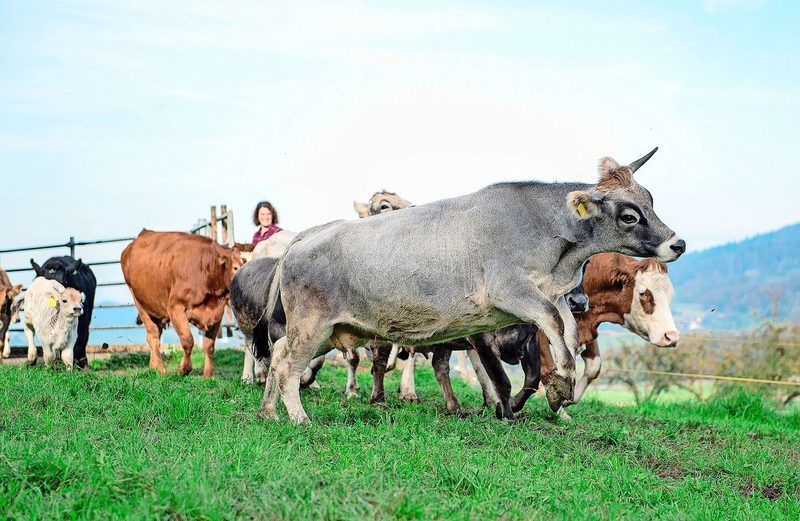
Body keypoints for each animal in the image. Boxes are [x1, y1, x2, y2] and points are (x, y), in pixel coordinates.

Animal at [120, 229, 244, 378]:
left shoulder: (217, 313)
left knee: (156, 334)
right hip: (140, 303)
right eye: (235, 267)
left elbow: (209, 346)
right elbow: (188, 340)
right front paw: (183, 369)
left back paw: (153, 366)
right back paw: (161, 369)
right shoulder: (176, 307)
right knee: (153, 335)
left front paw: (208, 375)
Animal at [261, 148, 685, 423]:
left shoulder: (554, 294)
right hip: (312, 325)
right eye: (629, 215)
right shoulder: (510, 291)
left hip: (326, 330)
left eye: (650, 200)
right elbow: (549, 329)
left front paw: (559, 387)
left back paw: (269, 412)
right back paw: (298, 417)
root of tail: (310, 235)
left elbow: (564, 331)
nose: (677, 243)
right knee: (286, 366)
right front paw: (557, 387)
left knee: (279, 354)